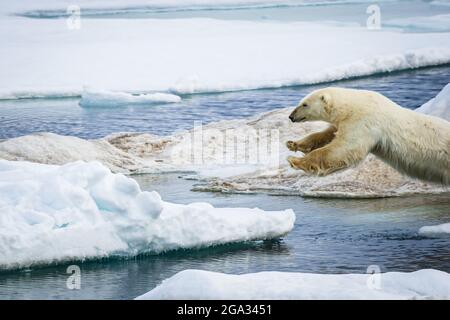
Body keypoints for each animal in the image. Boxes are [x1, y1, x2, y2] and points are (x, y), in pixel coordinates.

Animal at [288, 87, 450, 185]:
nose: (291, 116)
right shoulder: (346, 121)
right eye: (301, 102)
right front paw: (293, 144)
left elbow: (343, 148)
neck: (352, 105)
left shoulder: (364, 119)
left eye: (304, 104)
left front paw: (295, 161)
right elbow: (327, 134)